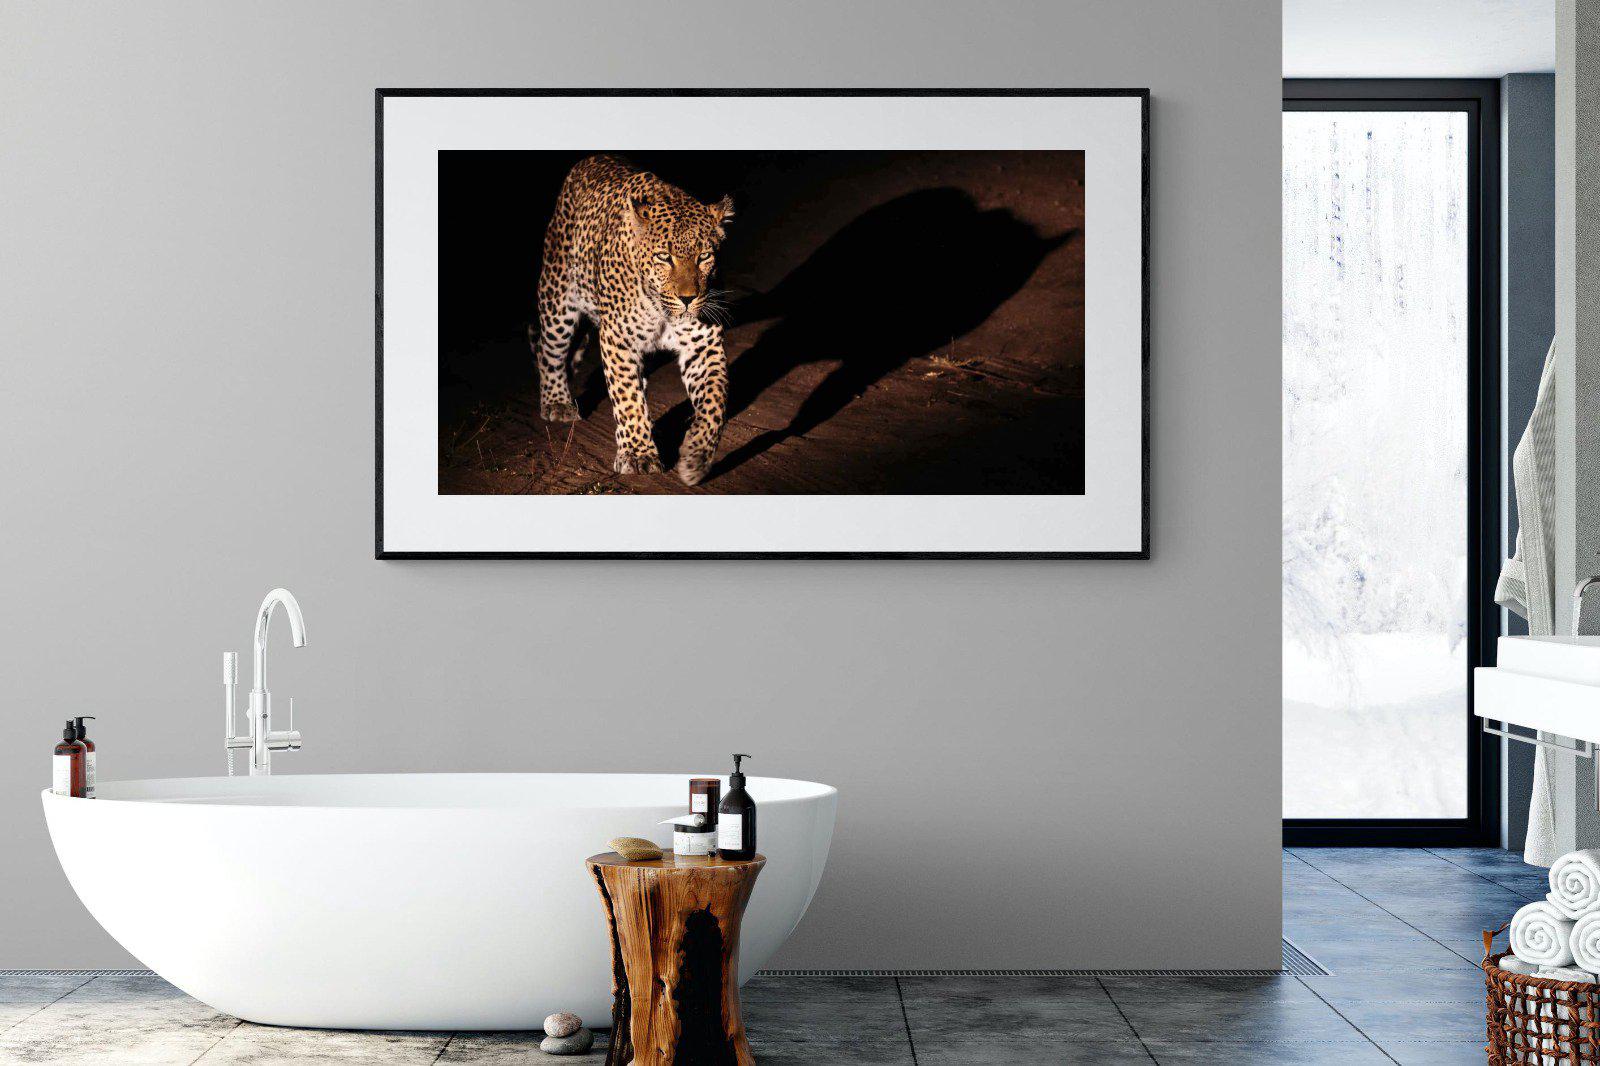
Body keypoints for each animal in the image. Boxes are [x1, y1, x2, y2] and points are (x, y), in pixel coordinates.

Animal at [529, 154, 734, 486]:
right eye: (664, 257)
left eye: (704, 257)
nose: (688, 299)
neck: (661, 310)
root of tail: (590, 160)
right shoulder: (618, 339)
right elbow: (626, 397)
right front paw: (638, 455)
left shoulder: (703, 345)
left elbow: (715, 402)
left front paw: (696, 457)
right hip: (557, 300)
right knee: (549, 352)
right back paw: (557, 402)